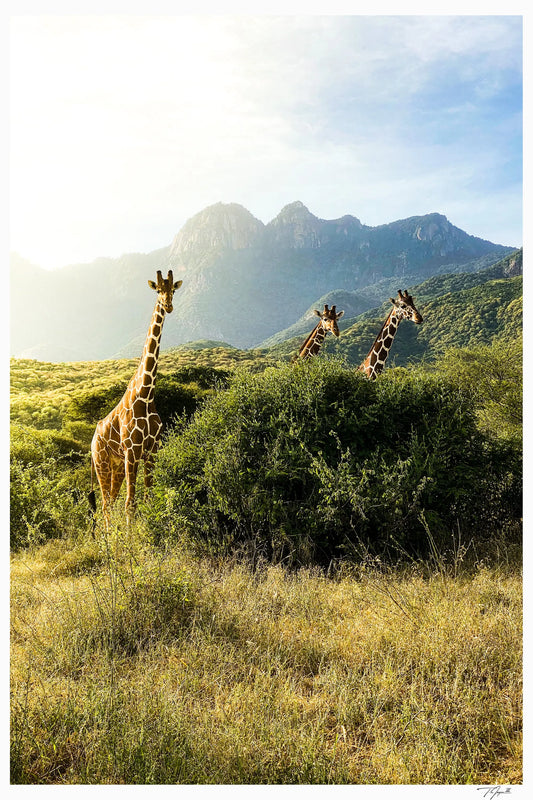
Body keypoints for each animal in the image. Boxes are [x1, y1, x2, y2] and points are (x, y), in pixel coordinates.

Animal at [89, 270, 182, 529]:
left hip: (117, 465)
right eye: (158, 290)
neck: (146, 393)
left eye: (173, 289)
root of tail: (92, 439)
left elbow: (148, 499)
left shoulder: (152, 450)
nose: (168, 305)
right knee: (106, 504)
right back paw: (109, 538)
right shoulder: (132, 451)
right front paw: (134, 538)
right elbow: (131, 503)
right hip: (101, 462)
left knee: (110, 501)